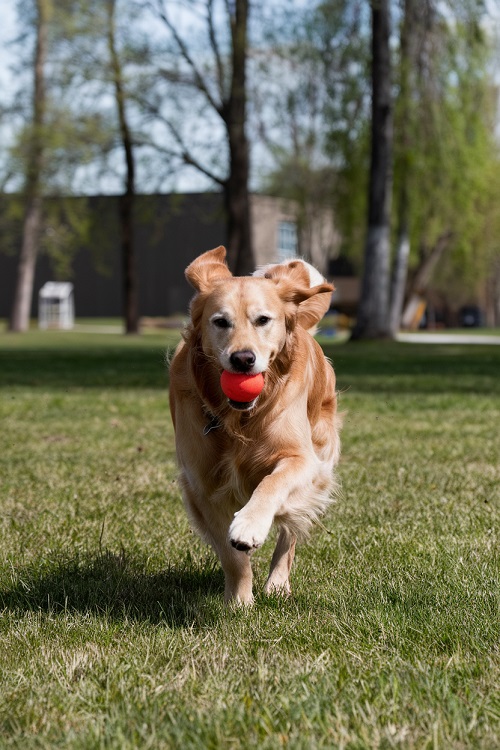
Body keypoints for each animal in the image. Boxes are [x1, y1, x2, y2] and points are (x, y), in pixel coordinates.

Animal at [169, 248, 340, 604]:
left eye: (263, 320)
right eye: (220, 321)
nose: (243, 359)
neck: (240, 419)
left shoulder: (301, 459)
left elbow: (271, 484)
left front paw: (250, 524)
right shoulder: (202, 485)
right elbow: (231, 555)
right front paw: (239, 601)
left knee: (290, 532)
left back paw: (277, 584)